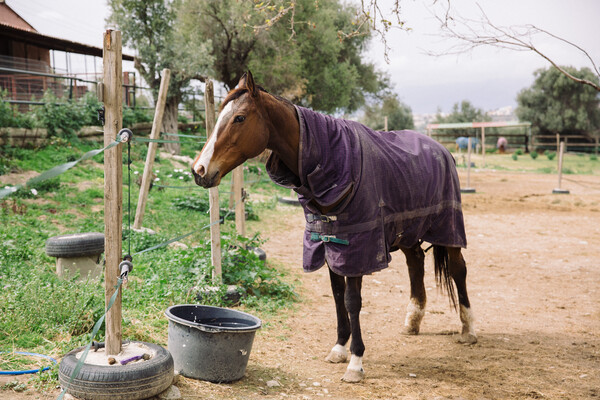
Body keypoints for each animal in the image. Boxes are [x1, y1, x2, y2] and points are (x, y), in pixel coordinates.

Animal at [192, 72, 478, 384]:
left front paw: (355, 362)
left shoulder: (356, 250)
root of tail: (442, 149)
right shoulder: (329, 245)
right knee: (416, 264)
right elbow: (338, 296)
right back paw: (412, 322)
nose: (199, 170)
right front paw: (339, 348)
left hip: (448, 229)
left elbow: (352, 301)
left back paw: (468, 329)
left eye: (240, 118)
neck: (332, 163)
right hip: (408, 232)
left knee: (459, 269)